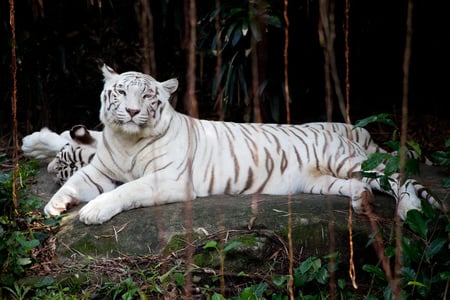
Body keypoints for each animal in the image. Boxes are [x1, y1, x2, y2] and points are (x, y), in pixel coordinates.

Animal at [22, 66, 440, 225]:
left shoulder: (166, 179)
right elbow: (75, 185)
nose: (132, 111)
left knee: (399, 180)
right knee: (361, 187)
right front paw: (55, 204)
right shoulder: (100, 170)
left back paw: (409, 209)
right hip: (322, 181)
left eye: (148, 97)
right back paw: (361, 203)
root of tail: (344, 131)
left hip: (352, 163)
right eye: (121, 92)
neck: (126, 140)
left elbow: (125, 190)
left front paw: (92, 211)